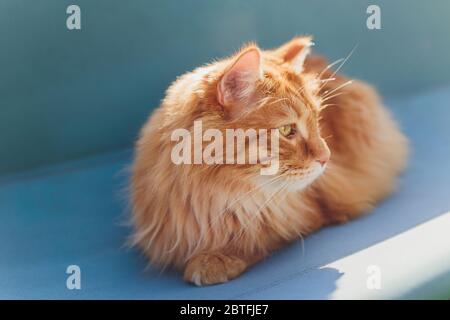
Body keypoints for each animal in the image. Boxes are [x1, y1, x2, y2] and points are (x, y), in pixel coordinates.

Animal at [129, 37, 408, 284]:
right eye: (287, 131)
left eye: (317, 121)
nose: (326, 157)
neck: (214, 197)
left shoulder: (308, 210)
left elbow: (258, 236)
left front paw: (213, 260)